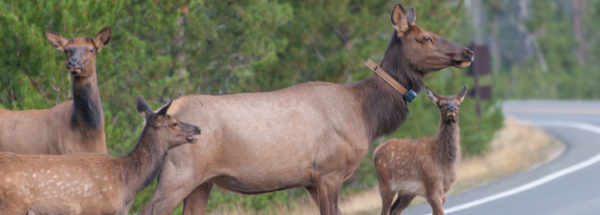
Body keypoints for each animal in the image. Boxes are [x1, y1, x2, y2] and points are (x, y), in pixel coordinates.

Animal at [376, 85, 468, 215]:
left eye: (459, 104)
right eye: (440, 104)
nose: (451, 108)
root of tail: (375, 152)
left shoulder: (443, 192)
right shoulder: (431, 187)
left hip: (406, 193)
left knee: (394, 211)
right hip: (385, 184)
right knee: (385, 211)